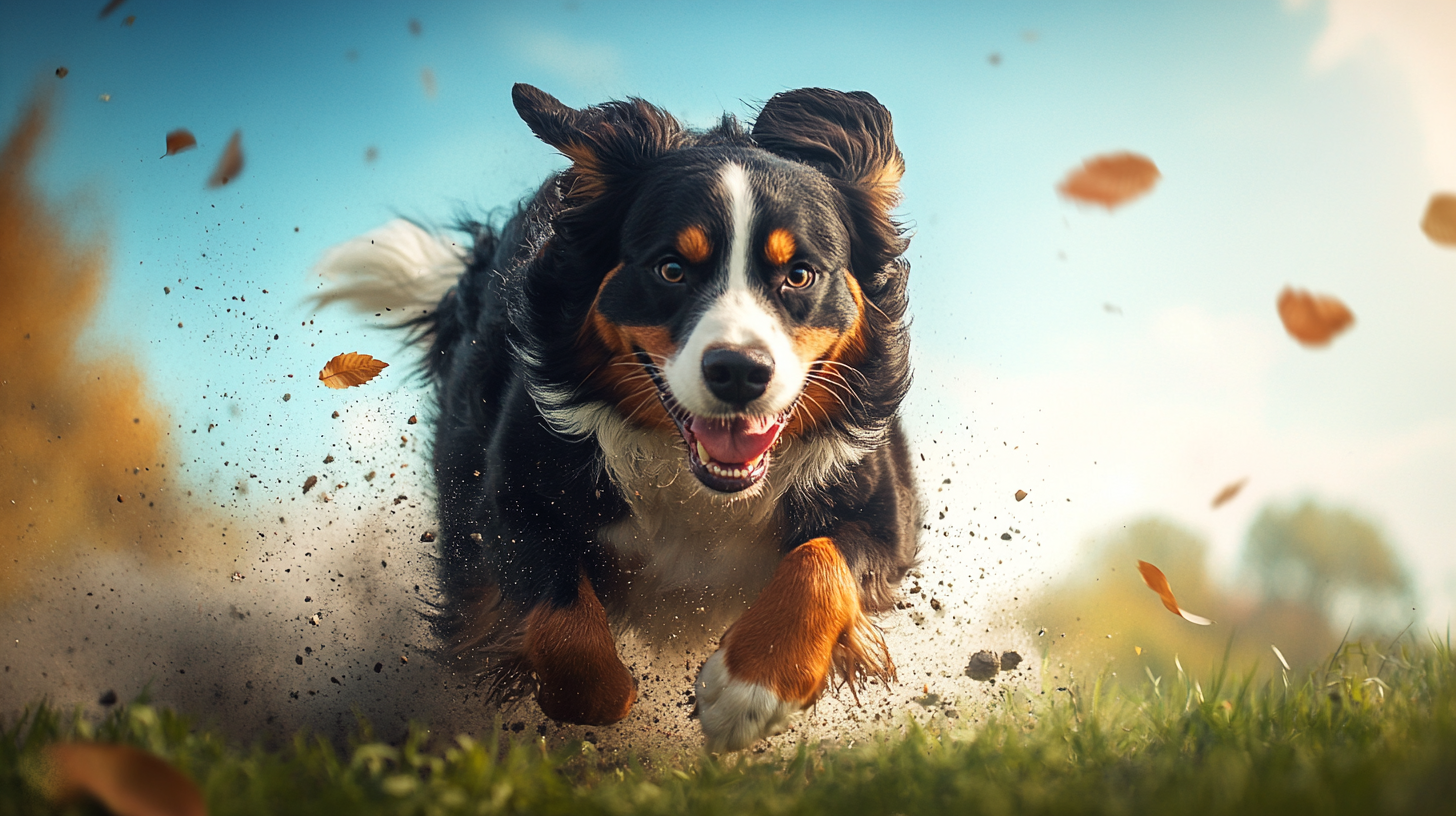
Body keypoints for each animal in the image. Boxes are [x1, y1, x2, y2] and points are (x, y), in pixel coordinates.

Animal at [315, 84, 920, 751]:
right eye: (671, 269)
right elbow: (569, 637)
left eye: (800, 274)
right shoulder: (510, 498)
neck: (696, 485)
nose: (739, 371)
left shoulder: (883, 514)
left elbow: (822, 561)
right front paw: (617, 698)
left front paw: (749, 691)